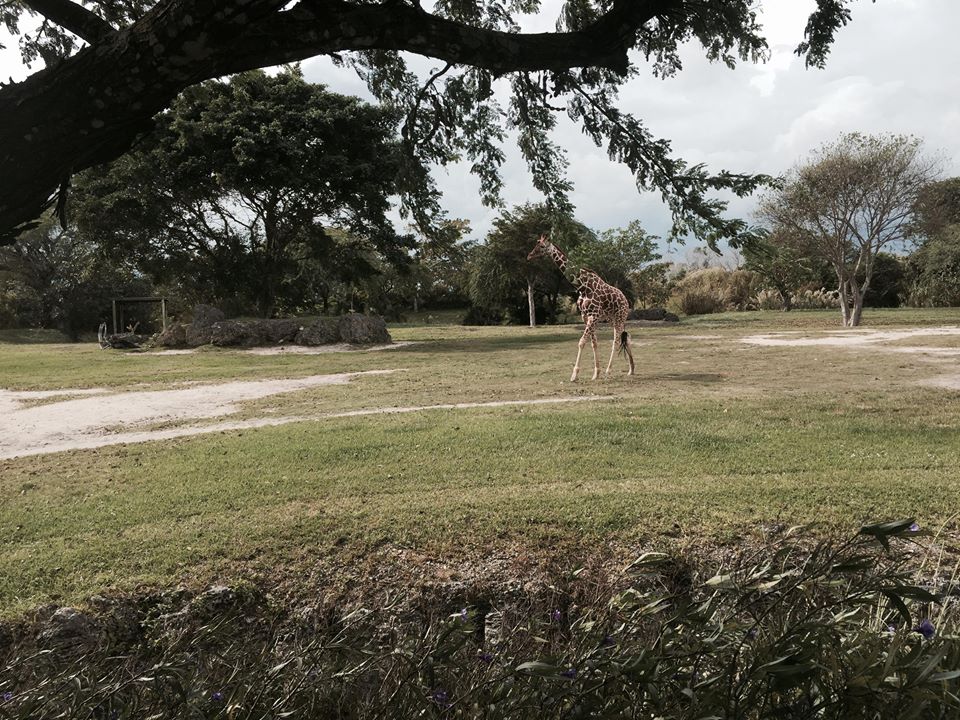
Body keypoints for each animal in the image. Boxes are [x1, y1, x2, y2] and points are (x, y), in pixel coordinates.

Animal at [527, 234, 635, 381]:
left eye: (542, 246)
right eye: (536, 244)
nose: (529, 255)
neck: (583, 287)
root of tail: (625, 300)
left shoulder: (593, 316)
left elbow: (582, 342)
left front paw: (574, 375)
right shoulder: (586, 316)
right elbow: (593, 343)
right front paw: (596, 373)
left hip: (619, 317)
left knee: (616, 340)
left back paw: (609, 371)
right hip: (611, 319)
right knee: (626, 338)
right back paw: (631, 370)